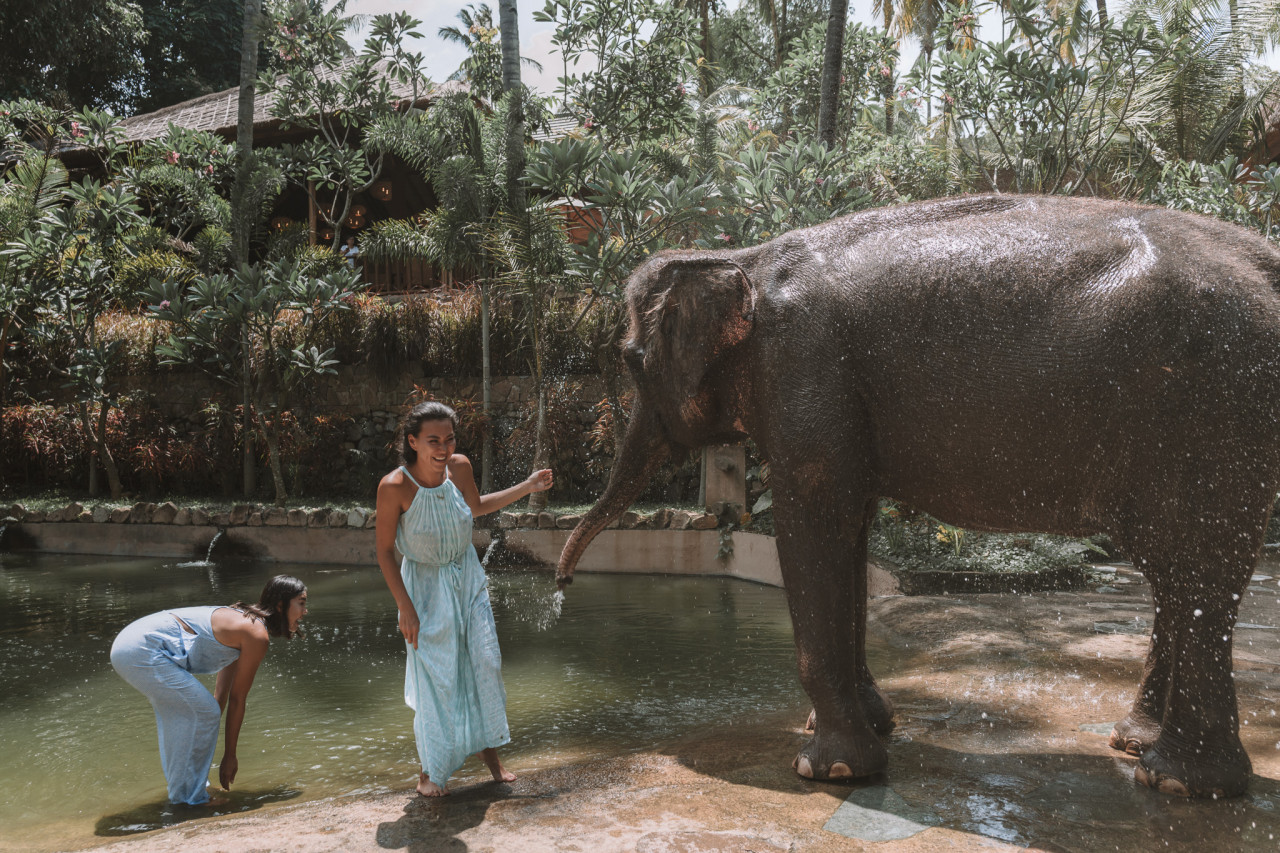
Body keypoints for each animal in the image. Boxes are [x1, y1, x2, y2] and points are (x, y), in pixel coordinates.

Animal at [558, 192, 1280, 799]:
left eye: (629, 360)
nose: (562, 584)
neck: (745, 257)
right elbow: (850, 528)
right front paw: (872, 726)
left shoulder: (805, 372)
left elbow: (813, 523)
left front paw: (828, 769)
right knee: (1176, 573)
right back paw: (1137, 745)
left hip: (1211, 409)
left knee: (1197, 569)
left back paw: (1181, 782)